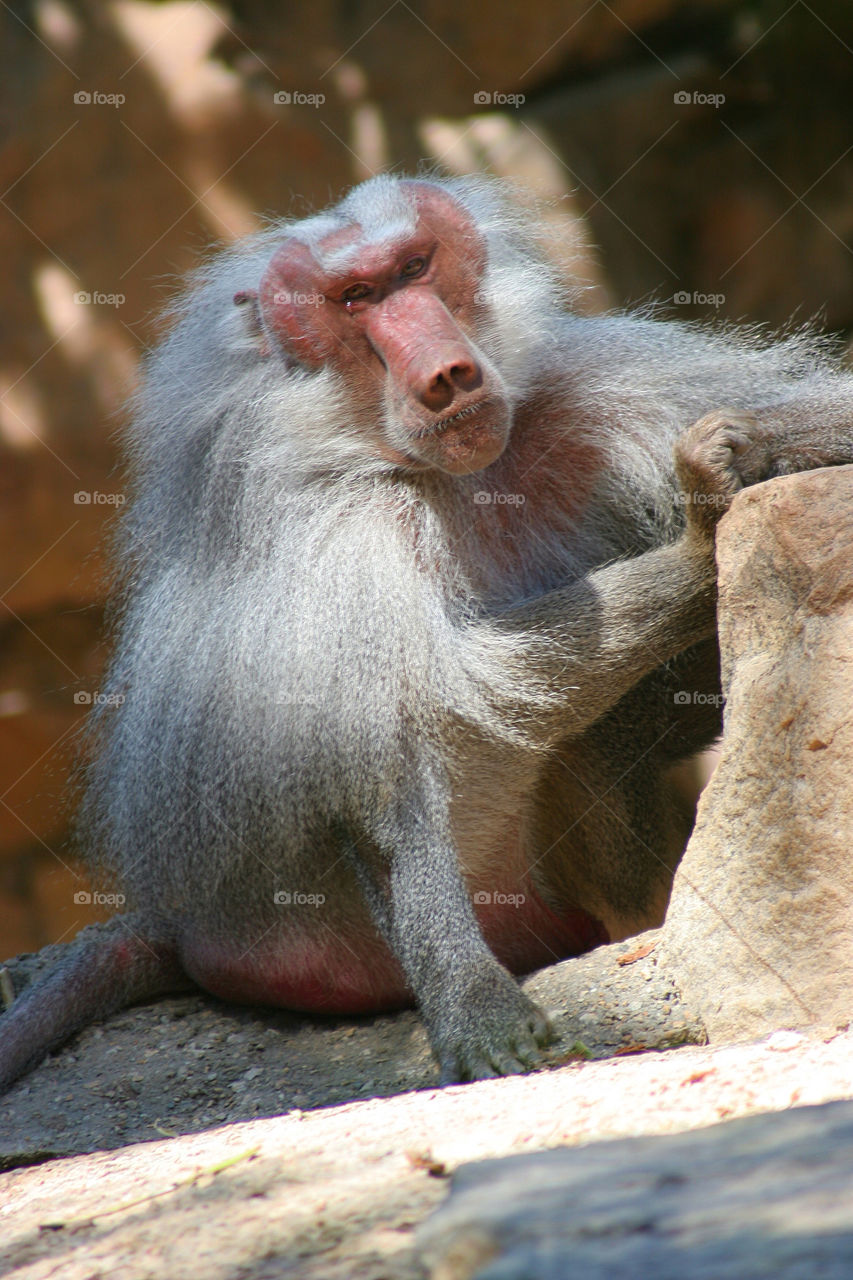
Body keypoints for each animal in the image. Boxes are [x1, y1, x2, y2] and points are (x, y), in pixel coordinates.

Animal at [1, 173, 851, 1094]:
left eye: (413, 269)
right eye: (354, 298)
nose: (446, 374)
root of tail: (186, 926)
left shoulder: (596, 386)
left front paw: (753, 448)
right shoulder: (337, 524)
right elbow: (385, 761)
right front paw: (699, 538)